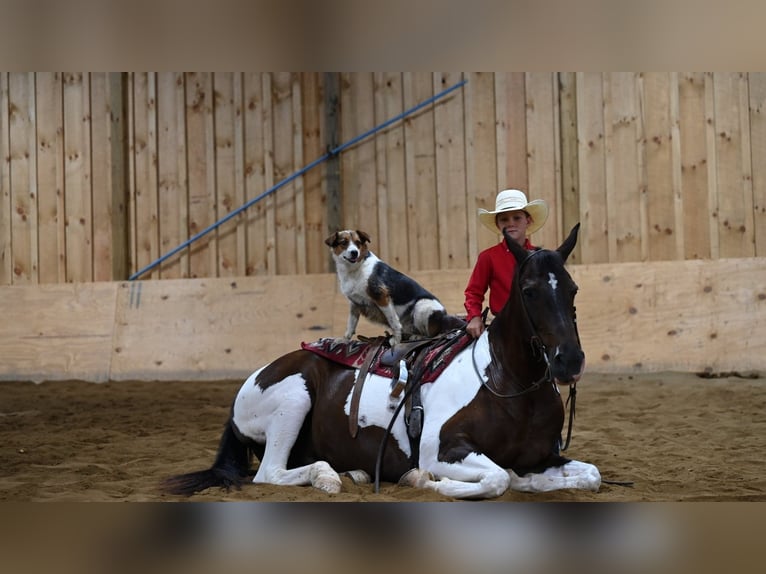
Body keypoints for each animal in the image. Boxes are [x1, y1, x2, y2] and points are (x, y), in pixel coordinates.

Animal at [326, 231, 468, 346]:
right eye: (344, 243)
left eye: (358, 243)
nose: (354, 252)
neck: (355, 269)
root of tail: (445, 317)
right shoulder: (355, 303)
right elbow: (350, 325)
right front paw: (344, 340)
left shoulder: (382, 297)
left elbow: (394, 322)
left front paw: (397, 341)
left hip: (422, 306)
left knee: (431, 334)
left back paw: (416, 337)